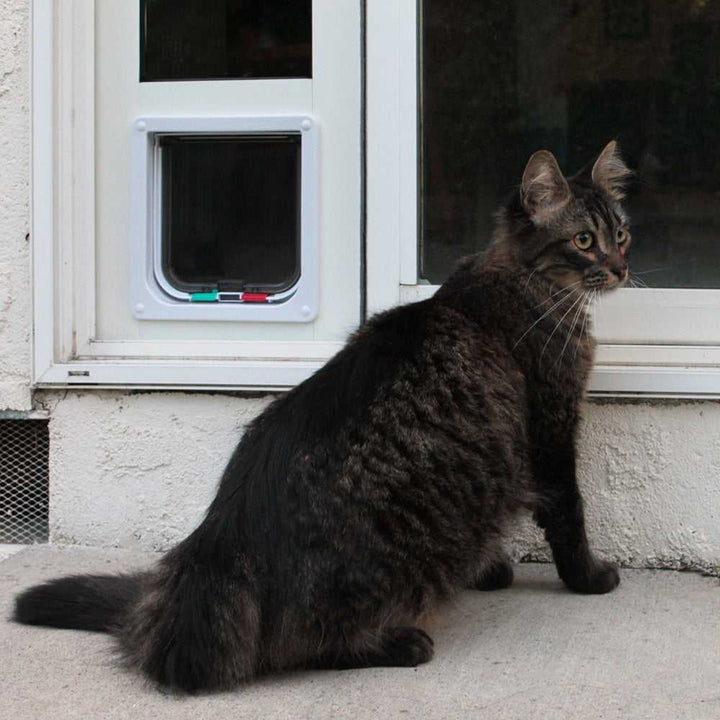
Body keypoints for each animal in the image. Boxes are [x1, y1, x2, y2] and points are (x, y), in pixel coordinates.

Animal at [9, 139, 632, 692]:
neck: (522, 281)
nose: (623, 269)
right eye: (584, 240)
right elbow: (568, 514)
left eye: (621, 234)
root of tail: (218, 545)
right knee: (307, 645)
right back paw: (400, 643)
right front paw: (588, 577)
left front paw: (492, 570)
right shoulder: (551, 428)